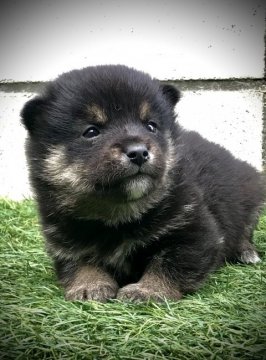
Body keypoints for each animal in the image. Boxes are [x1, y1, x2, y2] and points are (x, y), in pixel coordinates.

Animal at [21, 64, 264, 300]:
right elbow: (80, 262)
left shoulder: (194, 230)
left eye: (151, 125)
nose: (138, 152)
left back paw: (247, 252)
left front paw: (148, 290)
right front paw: (90, 284)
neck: (117, 216)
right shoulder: (64, 239)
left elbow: (169, 263)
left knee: (245, 230)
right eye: (91, 131)